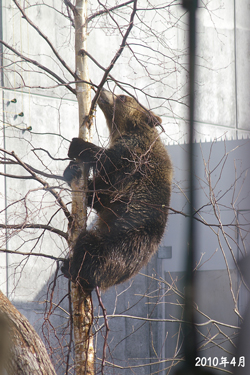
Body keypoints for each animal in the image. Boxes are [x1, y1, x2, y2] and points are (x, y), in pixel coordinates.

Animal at [61, 89, 173, 292]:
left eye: (122, 96)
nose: (103, 91)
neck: (125, 129)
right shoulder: (112, 190)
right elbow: (97, 194)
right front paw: (71, 170)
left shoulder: (135, 157)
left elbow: (108, 161)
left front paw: (78, 145)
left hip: (121, 242)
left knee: (90, 247)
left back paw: (72, 268)